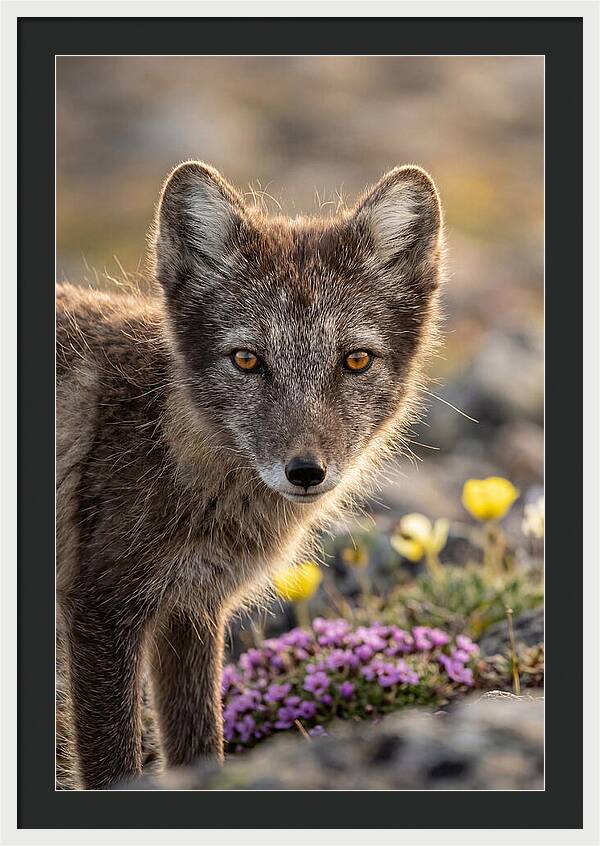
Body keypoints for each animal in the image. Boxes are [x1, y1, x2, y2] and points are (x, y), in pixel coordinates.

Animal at [56, 161, 444, 790]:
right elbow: (113, 764)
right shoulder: (100, 608)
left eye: (355, 360)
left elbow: (199, 748)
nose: (306, 472)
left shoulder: (191, 610)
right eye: (246, 360)